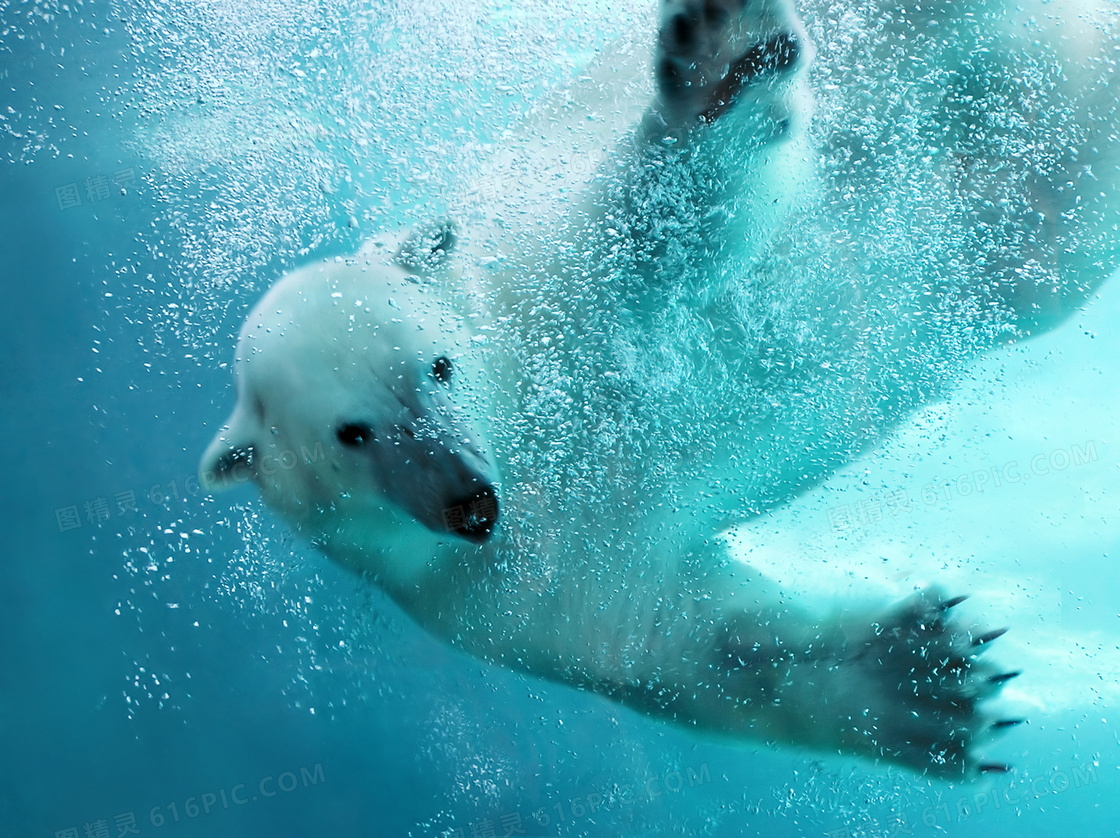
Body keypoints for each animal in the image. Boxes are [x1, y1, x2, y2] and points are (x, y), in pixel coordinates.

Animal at [201, 0, 1120, 779]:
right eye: (351, 435)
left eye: (438, 365)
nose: (472, 502)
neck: (527, 421)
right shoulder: (501, 592)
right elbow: (689, 643)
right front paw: (926, 683)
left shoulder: (553, 278)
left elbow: (665, 221)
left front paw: (723, 63)